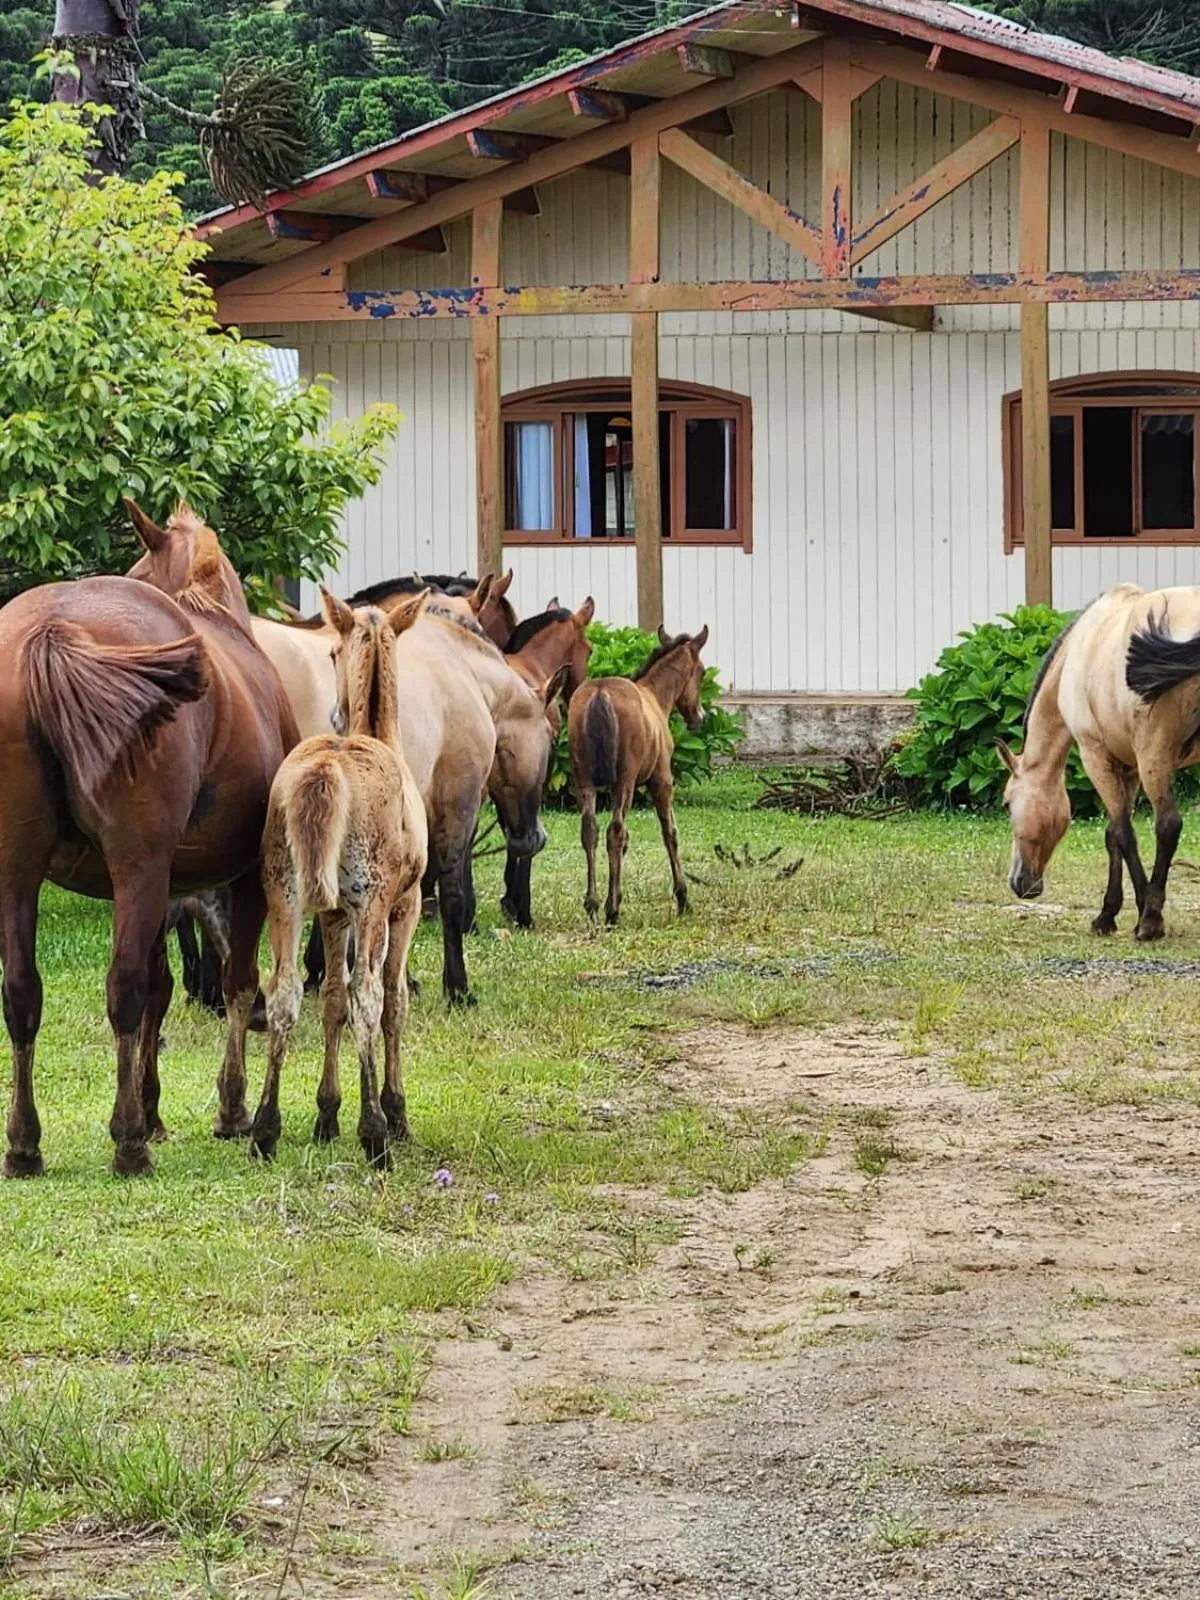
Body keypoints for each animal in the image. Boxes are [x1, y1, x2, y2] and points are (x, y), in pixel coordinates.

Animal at [0, 501, 296, 1176]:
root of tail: (53, 631)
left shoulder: (161, 890)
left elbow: (163, 992)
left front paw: (156, 1107)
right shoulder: (246, 876)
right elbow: (236, 983)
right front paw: (230, 1109)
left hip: (17, 866)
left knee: (22, 992)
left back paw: (25, 1142)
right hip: (139, 863)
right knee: (125, 986)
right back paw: (128, 1140)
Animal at [251, 590, 429, 1168]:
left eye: (331, 650)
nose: (336, 710)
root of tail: (327, 767)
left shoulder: (330, 915)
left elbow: (329, 999)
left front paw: (326, 1113)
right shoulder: (405, 905)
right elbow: (390, 1001)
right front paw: (394, 1112)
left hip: (283, 894)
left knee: (284, 992)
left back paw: (265, 1128)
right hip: (371, 902)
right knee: (368, 995)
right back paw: (375, 1132)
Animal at [568, 626, 709, 927]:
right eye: (702, 672)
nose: (698, 717)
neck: (655, 698)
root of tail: (600, 694)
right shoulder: (662, 780)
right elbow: (670, 833)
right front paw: (683, 897)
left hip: (584, 781)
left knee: (590, 830)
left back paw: (592, 904)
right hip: (625, 782)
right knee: (615, 831)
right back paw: (611, 910)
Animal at [998, 584, 1200, 941]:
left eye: (1008, 804)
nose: (1020, 884)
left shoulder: (1097, 758)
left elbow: (1122, 833)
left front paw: (1142, 915)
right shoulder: (1128, 768)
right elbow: (1112, 835)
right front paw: (1108, 914)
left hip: (1155, 755)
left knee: (1168, 826)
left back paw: (1149, 920)